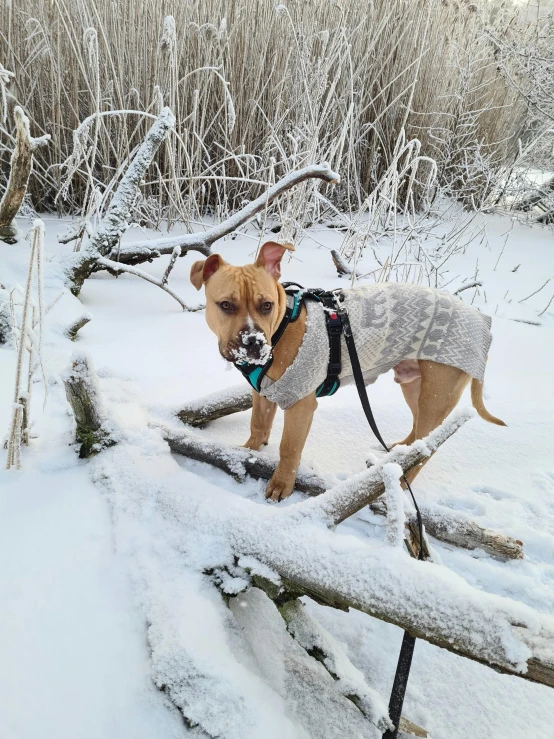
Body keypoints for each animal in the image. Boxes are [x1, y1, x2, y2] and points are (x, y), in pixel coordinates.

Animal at [191, 243, 504, 502]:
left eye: (266, 305)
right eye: (226, 305)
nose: (254, 342)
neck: (281, 327)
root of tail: (482, 322)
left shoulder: (300, 405)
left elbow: (289, 448)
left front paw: (281, 485)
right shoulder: (263, 393)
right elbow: (258, 426)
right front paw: (247, 454)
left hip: (436, 396)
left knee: (425, 449)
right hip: (414, 385)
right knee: (416, 432)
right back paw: (396, 454)